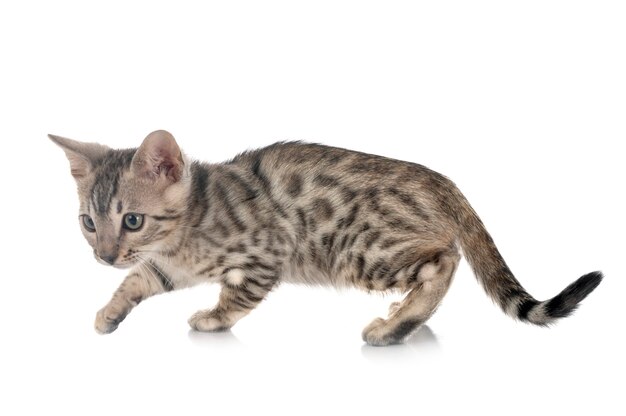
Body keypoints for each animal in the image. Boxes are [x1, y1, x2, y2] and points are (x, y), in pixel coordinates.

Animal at [48, 132, 600, 346]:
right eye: (89, 223)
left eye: (132, 220)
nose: (104, 256)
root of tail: (439, 181)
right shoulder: (166, 266)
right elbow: (137, 281)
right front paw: (110, 312)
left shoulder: (266, 253)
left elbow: (236, 297)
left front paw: (213, 318)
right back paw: (403, 315)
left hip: (361, 249)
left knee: (444, 259)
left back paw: (394, 326)